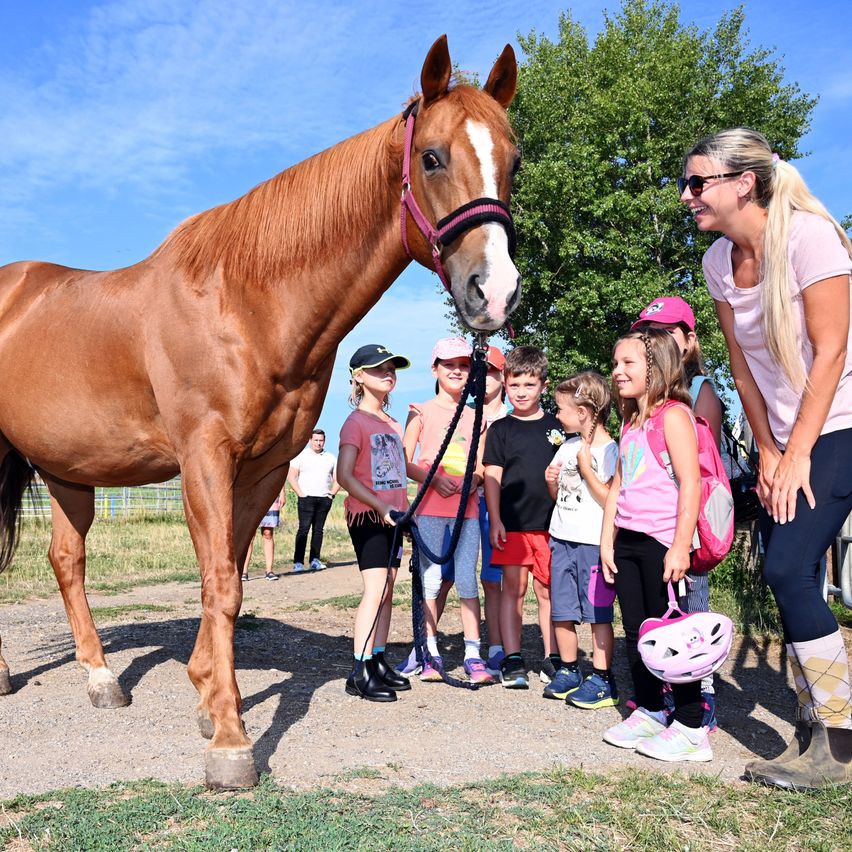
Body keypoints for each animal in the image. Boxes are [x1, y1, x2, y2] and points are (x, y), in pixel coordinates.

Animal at [0, 35, 520, 789]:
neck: (245, 301)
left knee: (67, 559)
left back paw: (102, 680)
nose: (496, 291)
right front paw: (230, 743)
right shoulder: (205, 459)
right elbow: (220, 581)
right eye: (432, 157)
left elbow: (234, 578)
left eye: (514, 160)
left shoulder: (264, 468)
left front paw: (206, 696)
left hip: (69, 470)